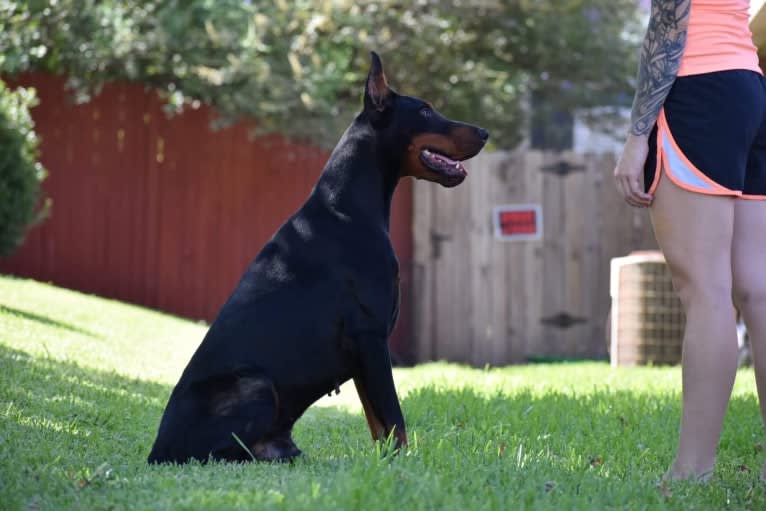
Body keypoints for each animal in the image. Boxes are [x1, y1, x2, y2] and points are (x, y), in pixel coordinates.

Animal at [147, 52, 488, 464]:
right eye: (424, 110)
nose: (484, 132)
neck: (348, 206)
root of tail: (156, 450)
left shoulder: (362, 353)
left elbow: (379, 423)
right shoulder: (370, 336)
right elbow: (394, 417)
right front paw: (405, 465)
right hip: (255, 384)